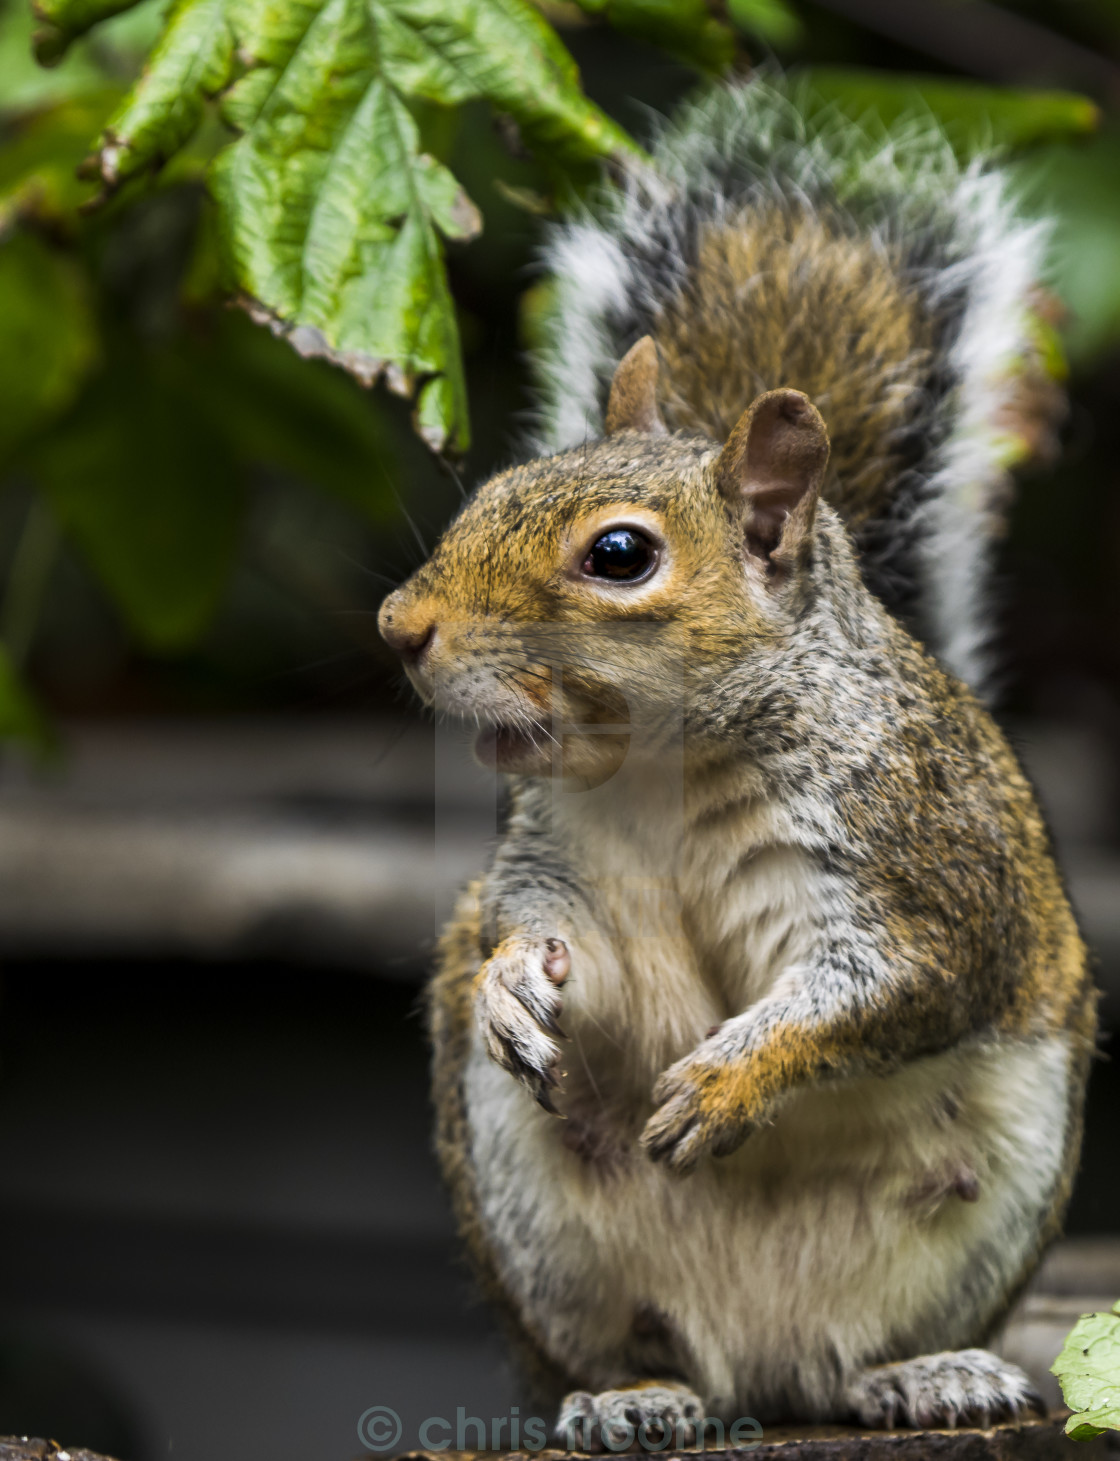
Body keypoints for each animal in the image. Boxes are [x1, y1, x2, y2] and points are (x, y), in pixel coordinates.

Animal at [376, 77, 1098, 1437]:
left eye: (619, 556)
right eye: (499, 486)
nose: (399, 627)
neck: (665, 767)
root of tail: (760, 1359)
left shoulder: (917, 863)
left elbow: (887, 986)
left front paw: (727, 1080)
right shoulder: (566, 865)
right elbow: (556, 948)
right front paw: (509, 984)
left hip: (987, 1203)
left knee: (853, 1356)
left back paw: (925, 1374)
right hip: (538, 1233)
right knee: (635, 1350)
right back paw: (635, 1396)